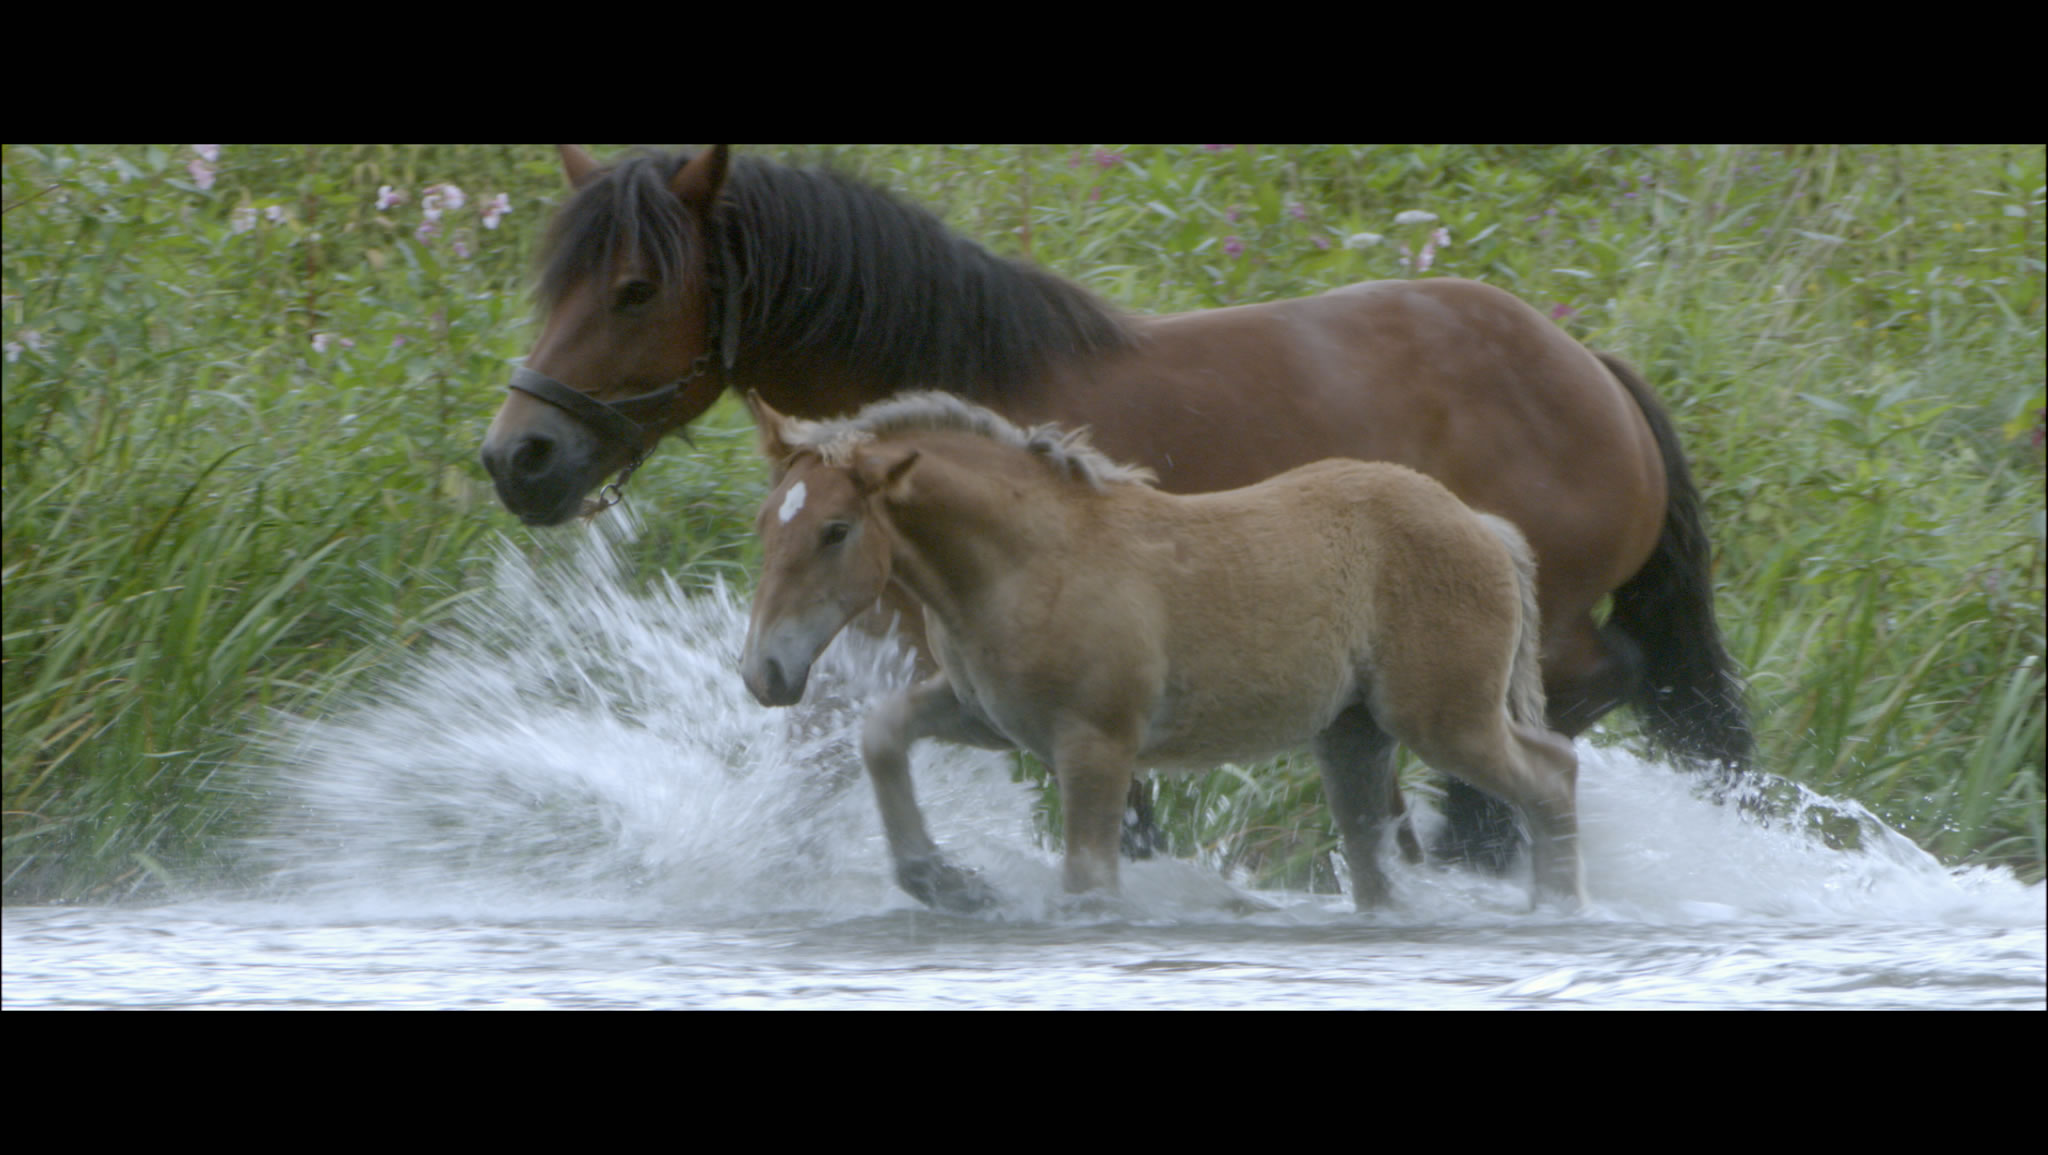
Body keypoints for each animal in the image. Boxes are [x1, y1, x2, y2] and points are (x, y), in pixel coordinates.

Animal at [737, 395, 1581, 913]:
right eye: (765, 520)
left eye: (836, 530)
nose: (763, 672)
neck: (1027, 561)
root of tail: (1483, 525)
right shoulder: (989, 716)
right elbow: (881, 733)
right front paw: (949, 883)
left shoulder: (1096, 744)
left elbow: (1089, 884)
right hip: (1353, 735)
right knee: (1379, 864)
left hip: (1441, 718)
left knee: (1551, 775)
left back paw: (1557, 911)